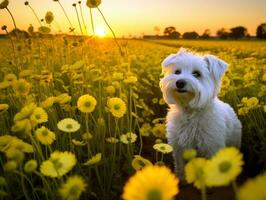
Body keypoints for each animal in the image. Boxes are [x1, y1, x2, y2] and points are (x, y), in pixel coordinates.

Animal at [159, 48, 242, 180]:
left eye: (196, 74)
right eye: (177, 72)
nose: (179, 82)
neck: (190, 111)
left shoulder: (211, 146)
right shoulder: (178, 147)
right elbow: (180, 166)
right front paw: (181, 179)